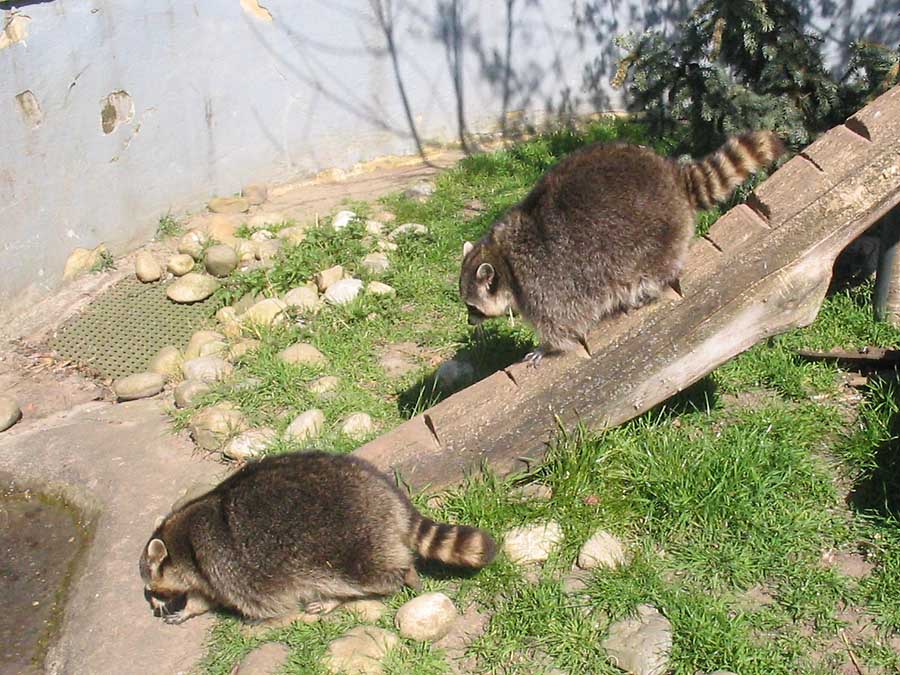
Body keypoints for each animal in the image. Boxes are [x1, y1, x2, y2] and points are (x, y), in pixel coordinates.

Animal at [139, 452, 500, 624]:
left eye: (150, 587)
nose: (153, 605)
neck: (179, 541)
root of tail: (388, 496)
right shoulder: (205, 570)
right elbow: (204, 596)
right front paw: (189, 608)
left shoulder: (221, 563)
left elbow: (246, 599)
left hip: (343, 542)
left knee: (365, 574)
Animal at [460, 131, 784, 364]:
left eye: (471, 305)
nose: (469, 321)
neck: (502, 259)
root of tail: (672, 175)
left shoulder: (541, 282)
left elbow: (564, 323)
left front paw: (548, 347)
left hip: (654, 233)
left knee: (654, 266)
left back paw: (644, 289)